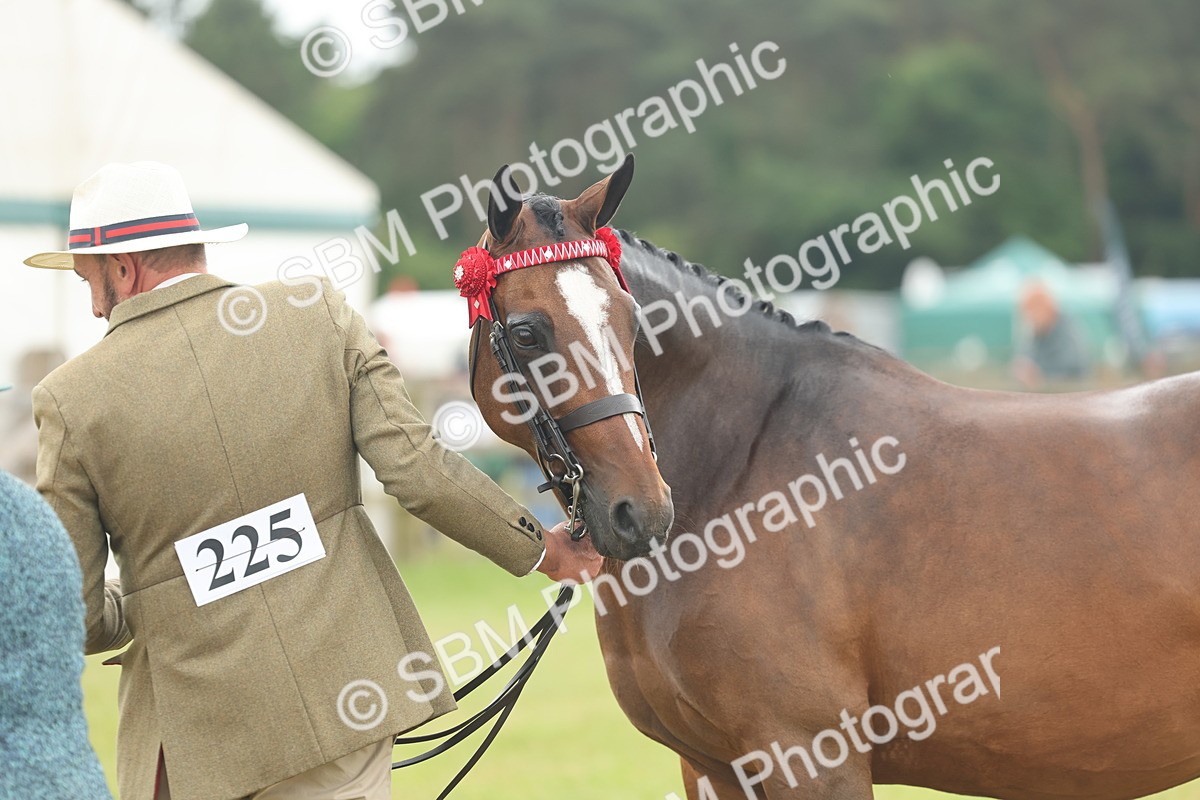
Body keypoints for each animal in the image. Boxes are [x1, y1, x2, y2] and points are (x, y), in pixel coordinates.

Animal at [463, 154, 1200, 799]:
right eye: (526, 334)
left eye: (629, 319)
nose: (639, 511)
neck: (739, 466)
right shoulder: (713, 768)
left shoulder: (811, 754)